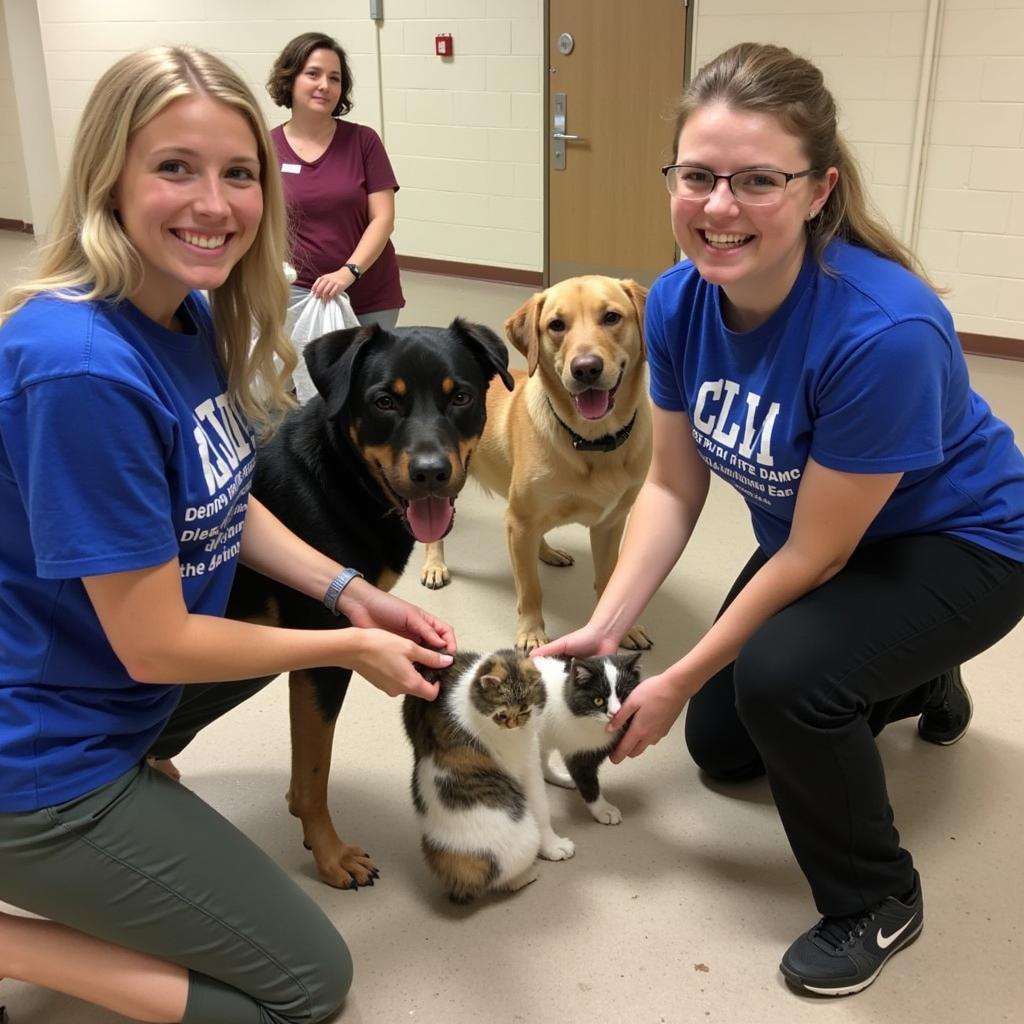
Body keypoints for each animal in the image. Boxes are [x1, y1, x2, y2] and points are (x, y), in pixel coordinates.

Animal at [399, 647, 577, 905]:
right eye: (501, 715)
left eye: (524, 711)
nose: (513, 724)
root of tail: (458, 878)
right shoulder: (528, 763)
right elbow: (542, 810)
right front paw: (555, 846)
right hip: (524, 840)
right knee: (503, 879)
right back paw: (527, 875)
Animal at [532, 655, 643, 823]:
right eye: (598, 700)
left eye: (624, 696)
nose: (615, 713)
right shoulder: (578, 751)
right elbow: (587, 782)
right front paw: (603, 810)